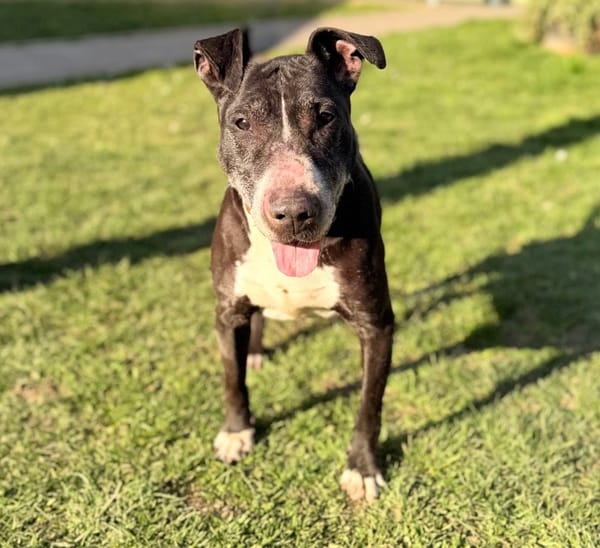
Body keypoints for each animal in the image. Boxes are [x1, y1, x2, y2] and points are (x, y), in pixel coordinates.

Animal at [193, 27, 394, 502]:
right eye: (241, 122)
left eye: (325, 117)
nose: (294, 213)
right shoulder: (227, 311)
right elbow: (232, 380)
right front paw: (237, 432)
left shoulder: (376, 325)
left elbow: (369, 404)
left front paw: (362, 468)